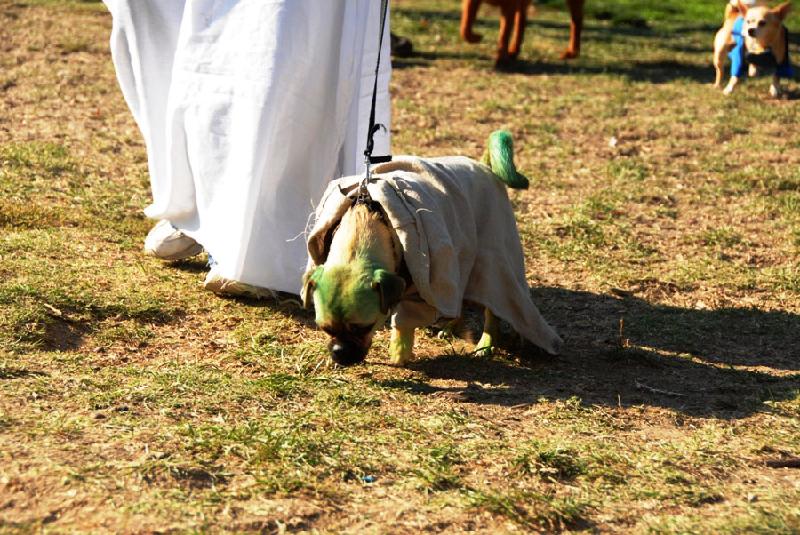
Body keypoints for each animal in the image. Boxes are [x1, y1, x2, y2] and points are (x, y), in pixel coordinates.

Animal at [302, 130, 563, 367]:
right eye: (325, 329)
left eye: (364, 327)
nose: (340, 353)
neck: (365, 219)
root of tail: (484, 167)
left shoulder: (421, 293)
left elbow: (404, 324)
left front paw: (399, 353)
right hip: (460, 260)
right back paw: (450, 327)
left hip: (491, 262)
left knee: (493, 311)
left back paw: (485, 344)